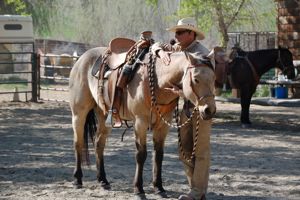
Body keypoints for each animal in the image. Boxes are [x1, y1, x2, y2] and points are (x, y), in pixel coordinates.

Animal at [69, 45, 217, 198]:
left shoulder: (163, 125)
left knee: (99, 144)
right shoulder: (140, 122)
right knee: (78, 143)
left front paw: (159, 187)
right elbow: (141, 155)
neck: (158, 82)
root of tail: (81, 59)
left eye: (214, 78)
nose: (209, 110)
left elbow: (158, 155)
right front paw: (139, 189)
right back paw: (77, 179)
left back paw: (103, 180)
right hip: (79, 114)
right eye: (196, 79)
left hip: (104, 116)